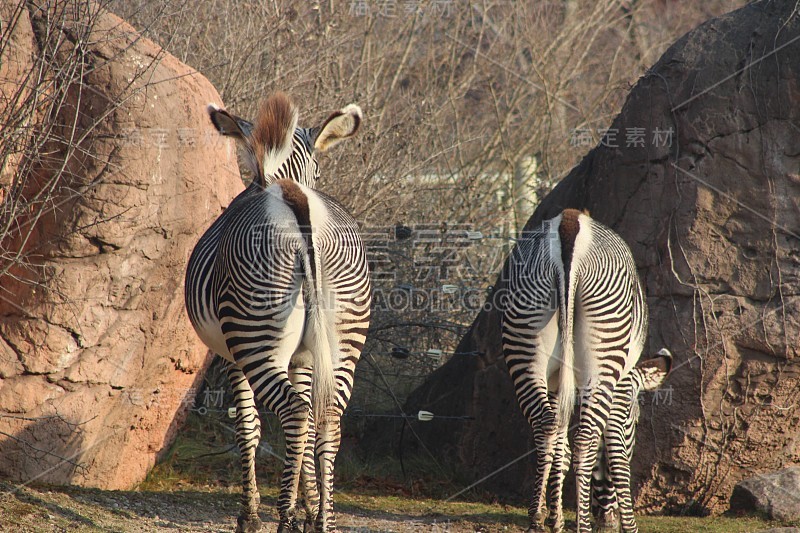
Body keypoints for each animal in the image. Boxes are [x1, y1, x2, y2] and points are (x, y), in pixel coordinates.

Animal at [186, 92, 374, 532]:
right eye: (319, 169)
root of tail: (296, 199)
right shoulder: (304, 357)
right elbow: (305, 436)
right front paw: (310, 506)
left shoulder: (232, 355)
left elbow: (248, 427)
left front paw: (250, 515)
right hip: (344, 339)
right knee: (326, 418)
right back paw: (325, 521)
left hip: (254, 338)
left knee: (293, 412)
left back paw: (283, 518)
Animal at [500, 208, 648, 532]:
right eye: (634, 420)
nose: (609, 518)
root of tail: (569, 222)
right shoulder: (622, 385)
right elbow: (614, 451)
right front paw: (627, 524)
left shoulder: (557, 381)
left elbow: (560, 446)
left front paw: (554, 516)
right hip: (604, 352)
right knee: (585, 437)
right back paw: (582, 525)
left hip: (525, 338)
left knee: (546, 423)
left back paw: (537, 518)